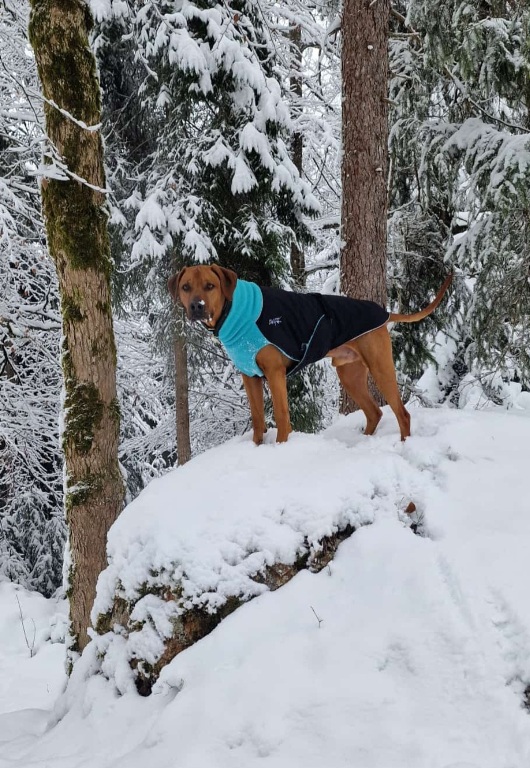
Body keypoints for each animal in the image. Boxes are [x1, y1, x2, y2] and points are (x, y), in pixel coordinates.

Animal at [168, 265, 452, 444]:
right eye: (186, 287)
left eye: (210, 286)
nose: (196, 306)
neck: (234, 312)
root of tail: (384, 313)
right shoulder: (250, 376)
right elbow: (258, 420)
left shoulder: (274, 373)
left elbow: (282, 417)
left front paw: (281, 446)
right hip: (349, 373)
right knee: (375, 412)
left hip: (380, 367)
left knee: (401, 413)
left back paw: (403, 445)